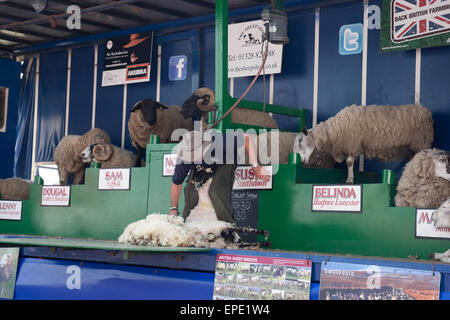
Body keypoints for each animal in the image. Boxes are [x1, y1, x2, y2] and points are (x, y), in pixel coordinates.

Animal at [294, 104, 434, 182]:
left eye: (300, 142)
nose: (301, 162)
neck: (334, 131)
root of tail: (425, 111)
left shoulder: (353, 144)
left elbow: (349, 162)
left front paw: (349, 180)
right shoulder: (348, 145)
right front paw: (350, 178)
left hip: (420, 143)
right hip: (410, 149)